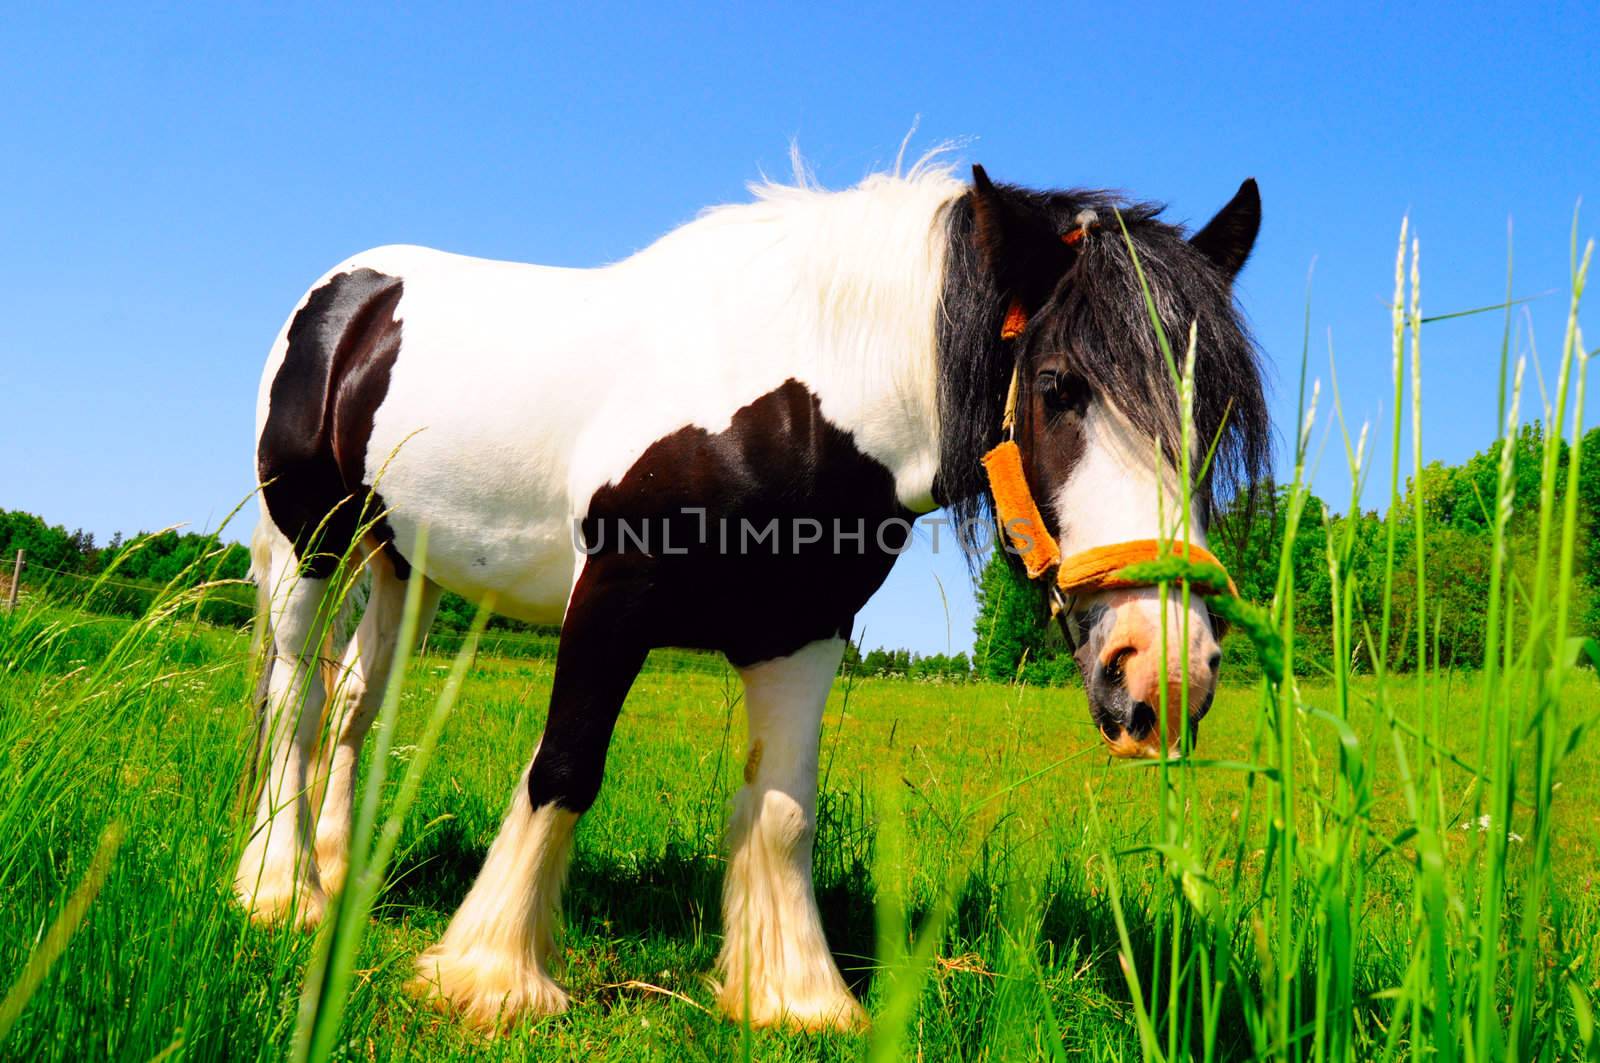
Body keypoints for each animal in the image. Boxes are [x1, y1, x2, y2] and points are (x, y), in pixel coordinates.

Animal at [236, 157, 1267, 1030]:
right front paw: (492, 976)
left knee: (355, 708)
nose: (1164, 669)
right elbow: (564, 766)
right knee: (297, 701)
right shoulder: (612, 596)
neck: (798, 398)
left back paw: (337, 874)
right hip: (311, 545)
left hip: (402, 566)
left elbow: (783, 807)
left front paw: (792, 996)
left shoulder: (801, 629)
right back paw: (280, 891)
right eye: (1057, 384)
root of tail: (350, 297)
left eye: (1214, 412)